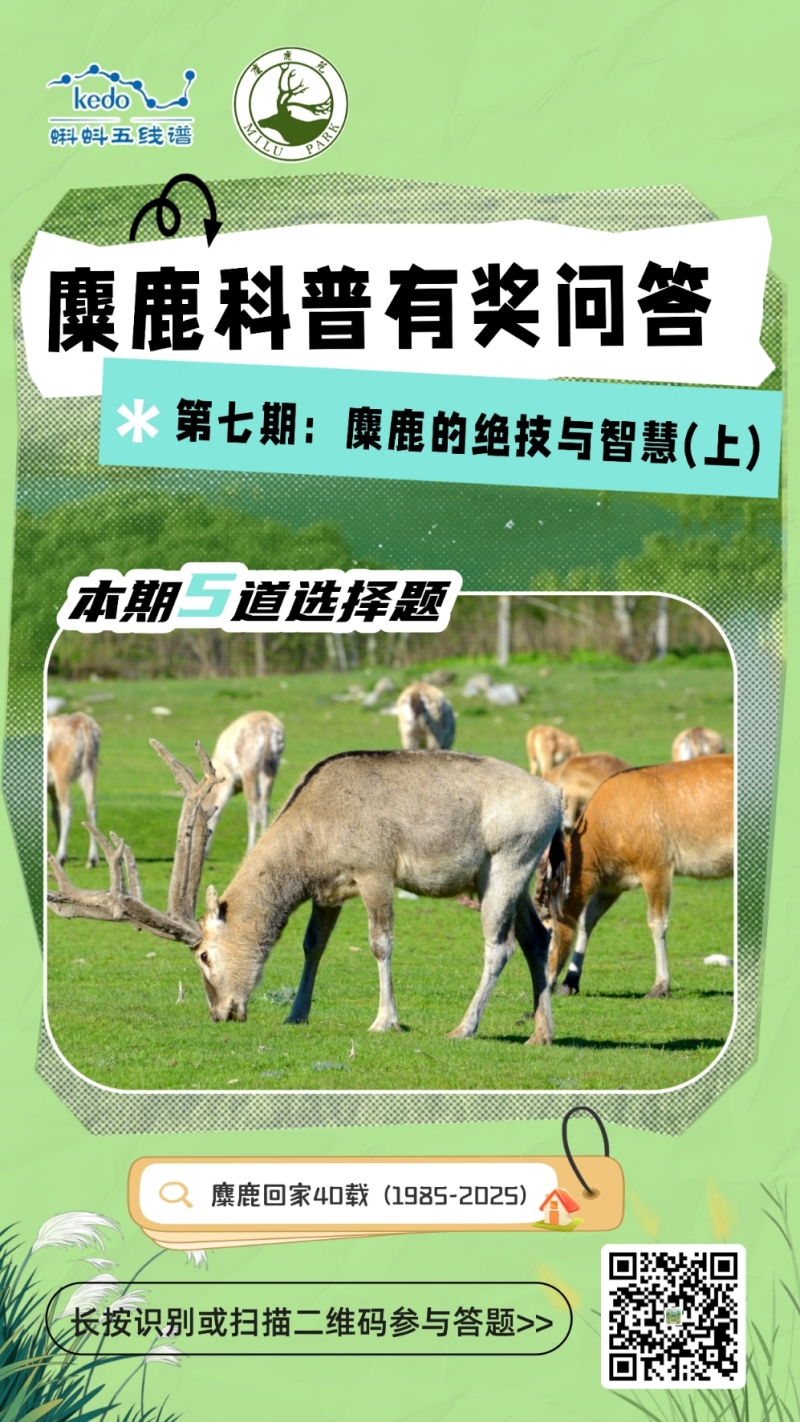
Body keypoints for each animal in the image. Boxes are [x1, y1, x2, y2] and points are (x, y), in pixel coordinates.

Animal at [47, 712, 101, 867]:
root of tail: (83, 724)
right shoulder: (50, 788)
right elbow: (54, 815)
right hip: (89, 768)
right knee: (92, 806)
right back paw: (92, 859)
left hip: (62, 771)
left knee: (67, 808)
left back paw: (60, 857)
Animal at [47, 741, 566, 1047]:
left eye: (204, 956)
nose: (221, 1013)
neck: (313, 836)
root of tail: (557, 797)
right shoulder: (329, 891)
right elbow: (311, 945)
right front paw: (295, 1016)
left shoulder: (375, 870)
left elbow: (381, 944)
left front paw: (384, 1020)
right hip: (513, 876)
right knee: (537, 938)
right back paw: (540, 1035)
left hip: (507, 861)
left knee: (499, 946)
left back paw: (463, 1027)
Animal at [204, 711, 285, 854]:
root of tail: (266, 726)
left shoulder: (228, 780)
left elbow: (218, 811)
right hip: (271, 768)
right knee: (264, 805)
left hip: (249, 768)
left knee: (253, 807)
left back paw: (250, 848)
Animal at [546, 755, 733, 998]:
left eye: (547, 930)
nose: (545, 980)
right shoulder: (612, 883)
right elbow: (587, 920)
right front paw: (569, 982)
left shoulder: (656, 869)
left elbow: (657, 922)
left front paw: (660, 987)